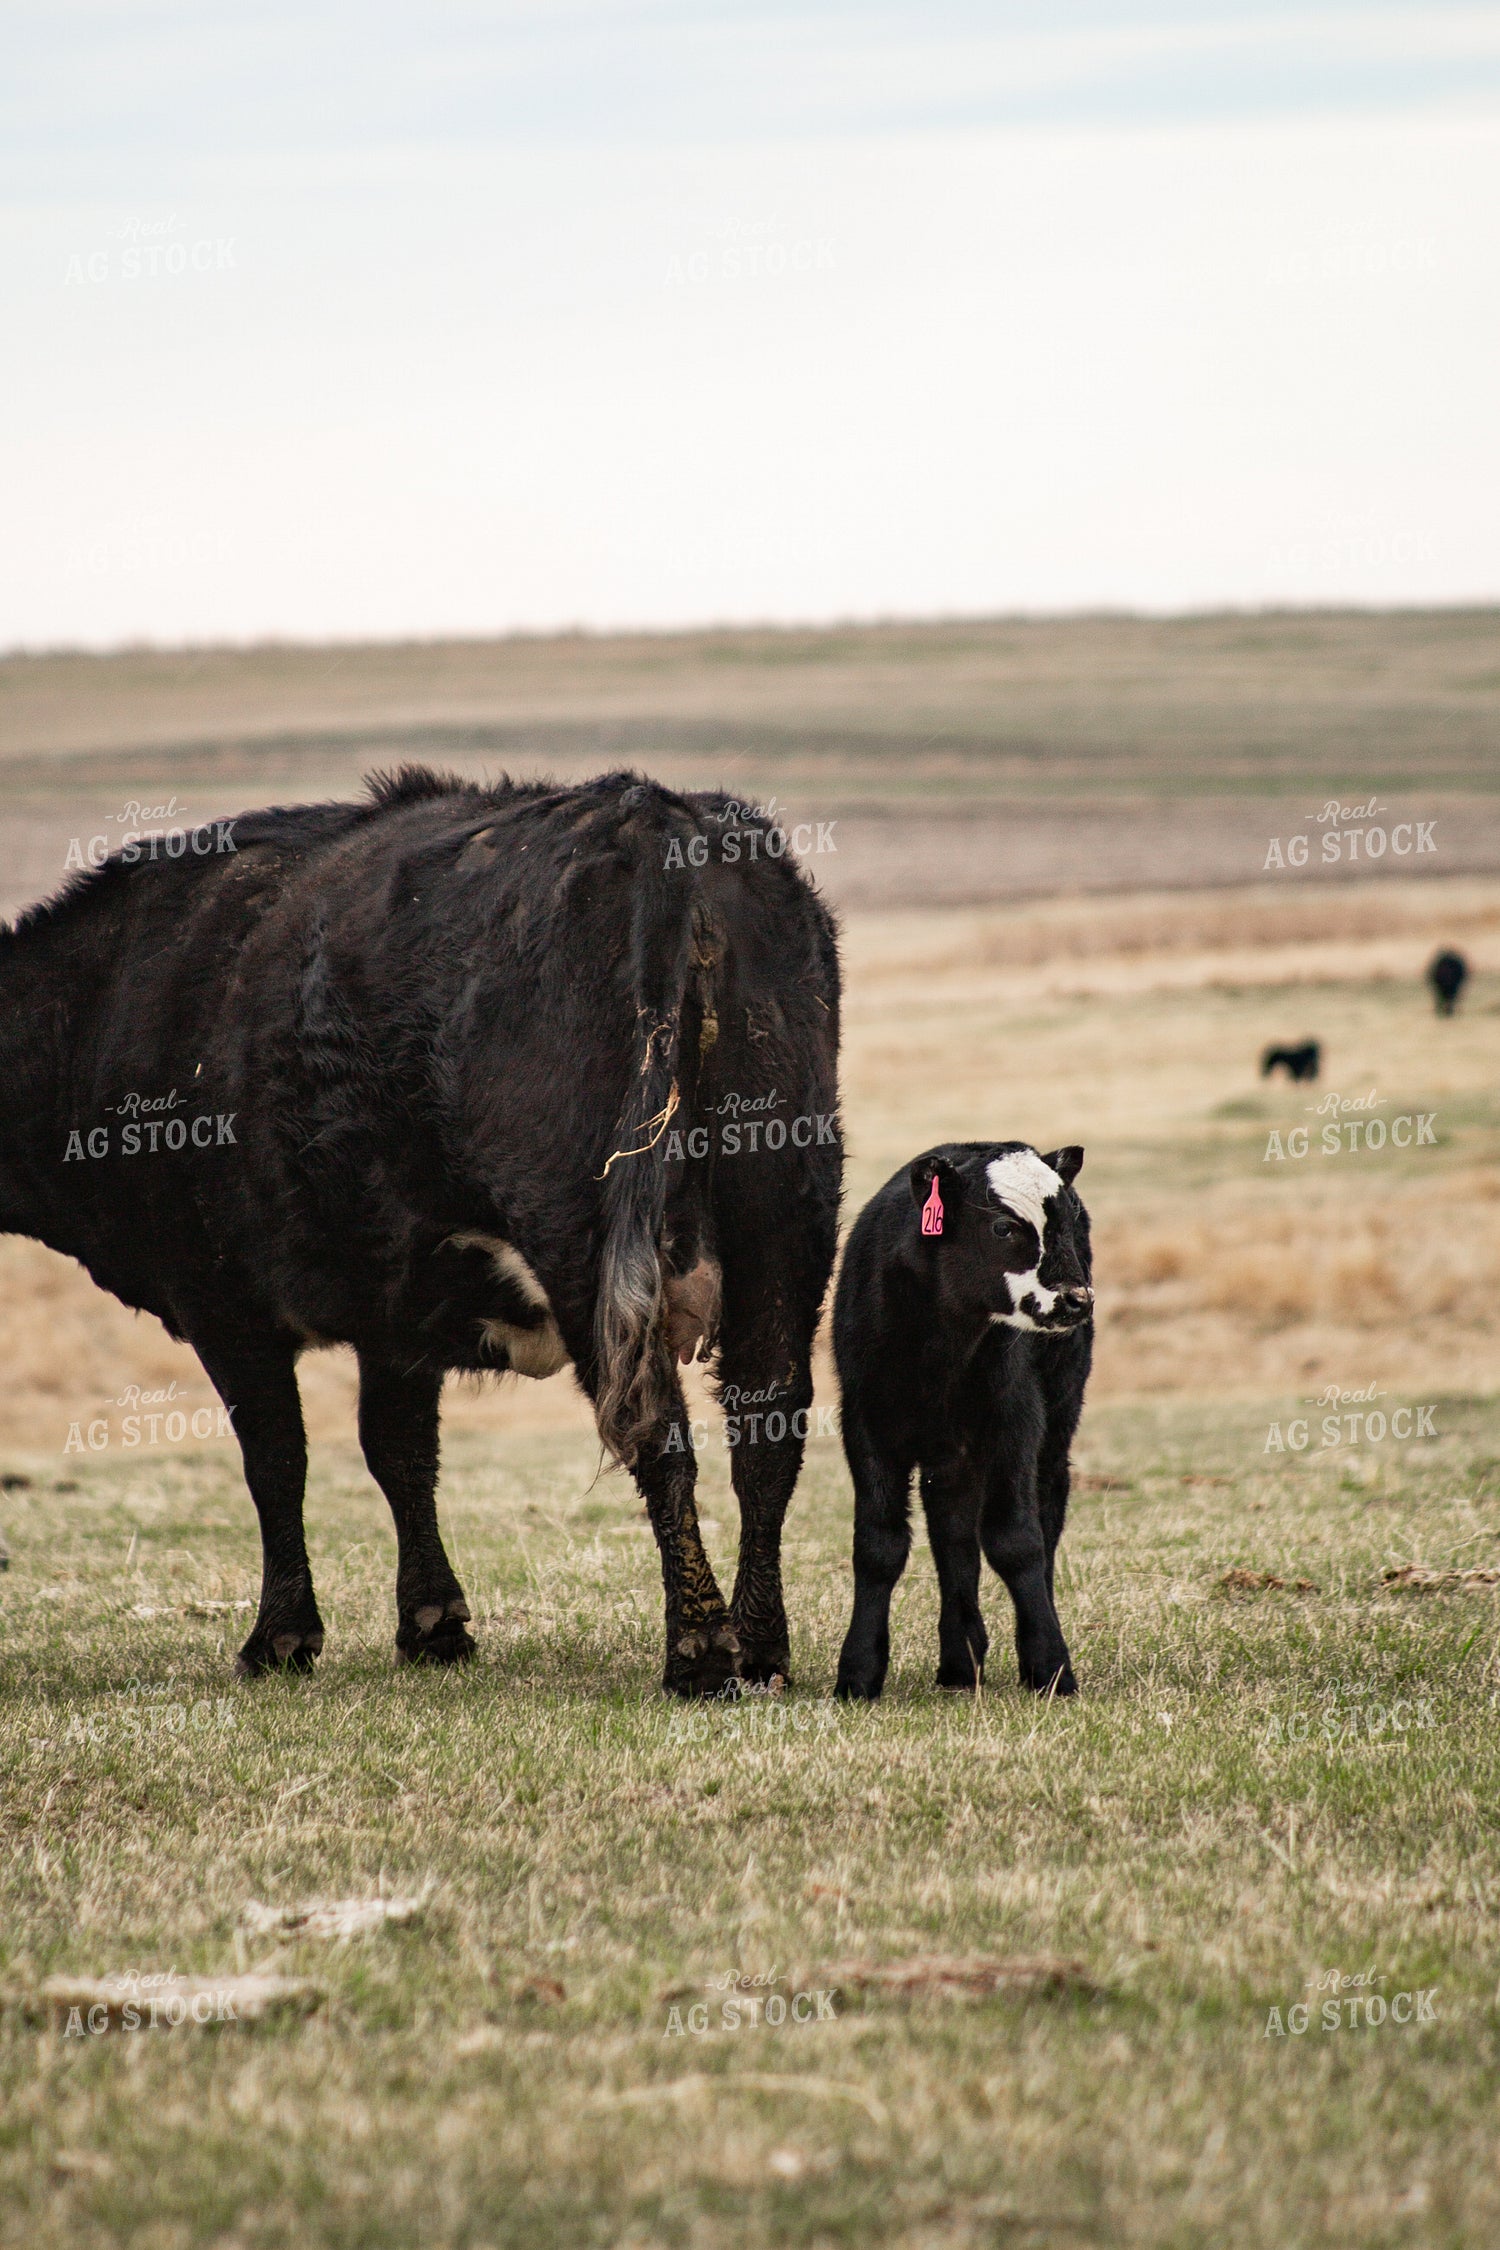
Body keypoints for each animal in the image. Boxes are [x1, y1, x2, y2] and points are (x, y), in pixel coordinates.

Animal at [0, 769, 842, 1696]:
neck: (105, 1006)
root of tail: (650, 815)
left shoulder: (223, 1303)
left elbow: (277, 1456)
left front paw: (281, 1638)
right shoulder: (392, 1315)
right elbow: (399, 1451)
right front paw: (434, 1624)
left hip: (584, 1235)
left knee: (656, 1424)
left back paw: (699, 1650)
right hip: (787, 1214)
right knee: (769, 1420)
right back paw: (761, 1647)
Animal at [834, 1141, 1093, 1703]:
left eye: (1068, 1219)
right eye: (1002, 1226)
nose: (1076, 1299)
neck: (939, 1348)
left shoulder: (1015, 1421)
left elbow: (1017, 1542)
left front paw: (1051, 1666)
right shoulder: (865, 1425)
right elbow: (879, 1545)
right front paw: (857, 1673)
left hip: (1056, 1422)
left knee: (1046, 1519)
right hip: (948, 1456)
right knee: (951, 1533)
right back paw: (959, 1661)